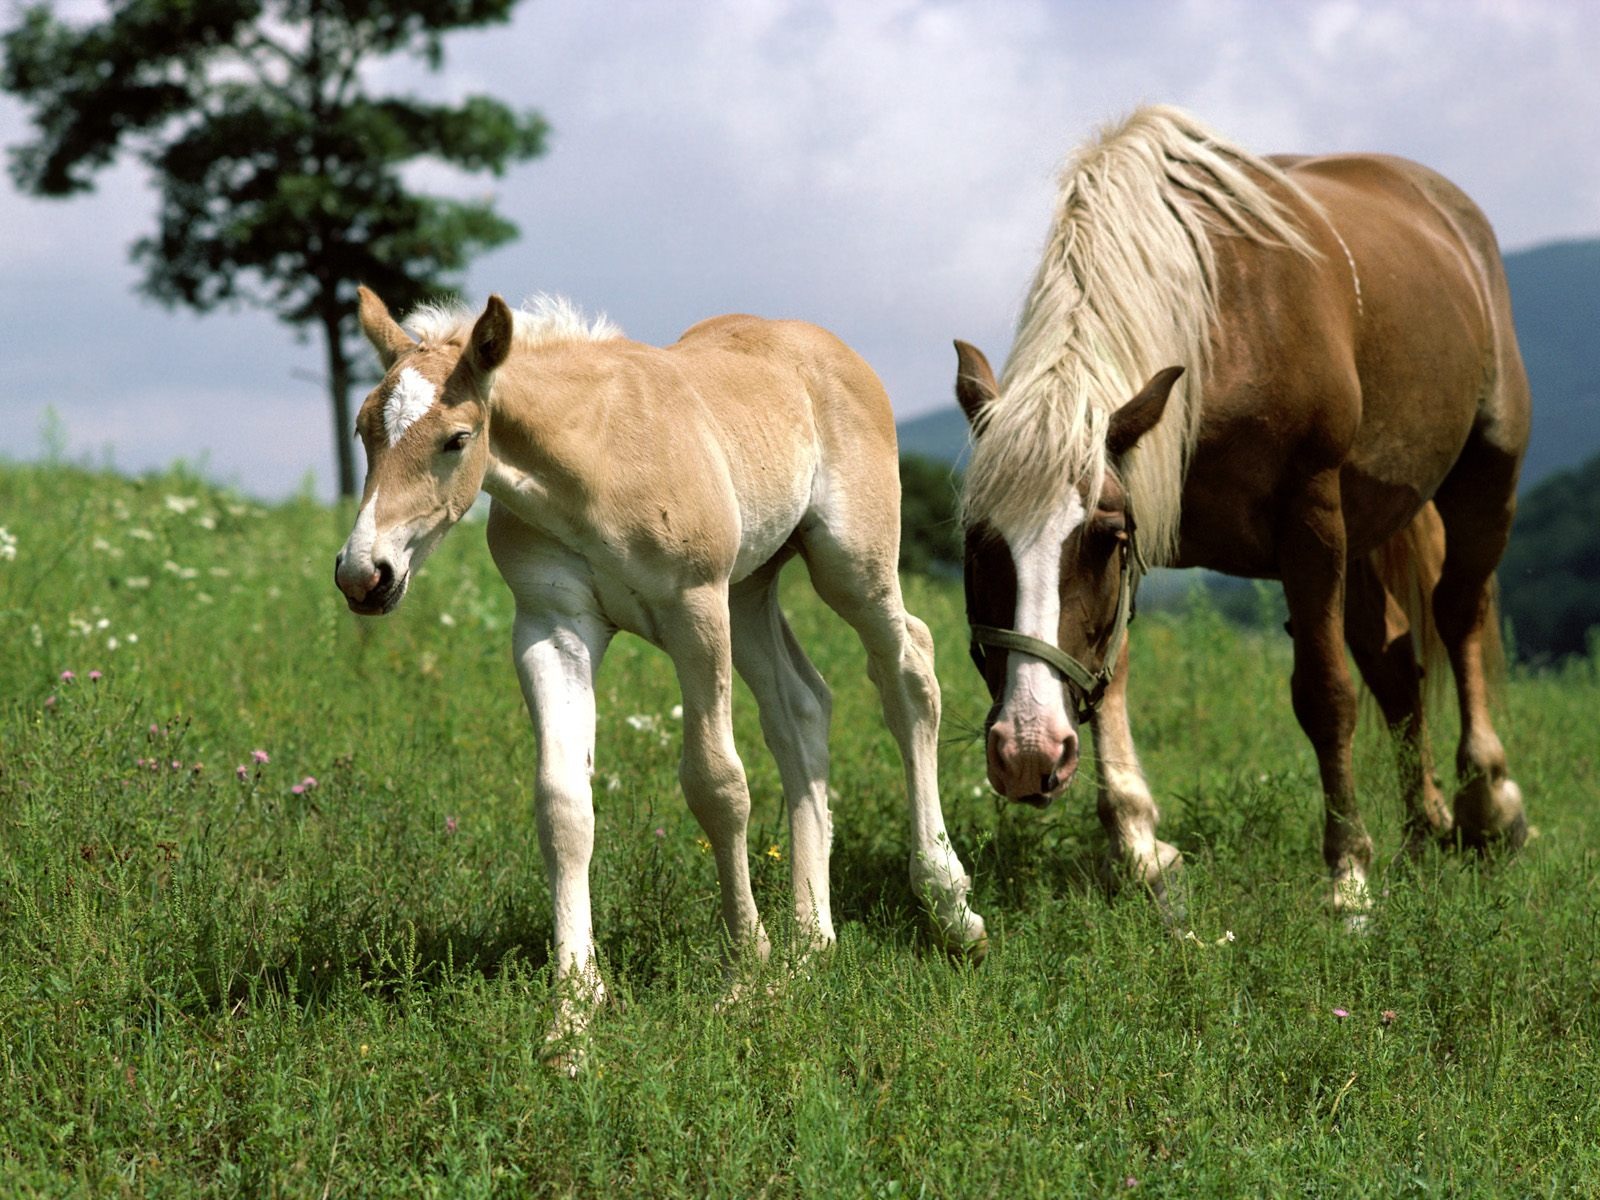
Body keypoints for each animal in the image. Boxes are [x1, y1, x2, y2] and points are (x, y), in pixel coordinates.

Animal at [953, 110, 1529, 921]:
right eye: (978, 544)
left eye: (1101, 538)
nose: (1027, 751)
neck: (1217, 327)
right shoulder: (1147, 512)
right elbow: (1109, 672)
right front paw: (1139, 846)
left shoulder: (1308, 516)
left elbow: (1324, 693)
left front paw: (1348, 874)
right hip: (1366, 528)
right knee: (1396, 663)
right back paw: (1425, 827)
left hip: (1485, 474)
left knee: (1457, 612)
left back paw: (1489, 802)